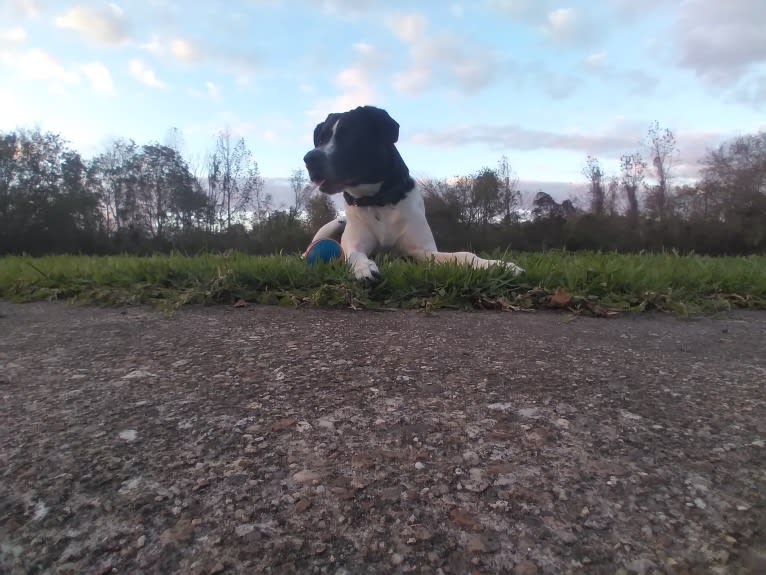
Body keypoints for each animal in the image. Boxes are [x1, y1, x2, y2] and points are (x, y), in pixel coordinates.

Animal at [304, 106, 524, 284]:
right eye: (320, 140)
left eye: (349, 136)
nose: (309, 158)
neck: (379, 201)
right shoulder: (355, 243)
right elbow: (354, 255)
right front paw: (364, 268)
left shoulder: (423, 252)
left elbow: (464, 254)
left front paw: (497, 265)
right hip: (333, 226)